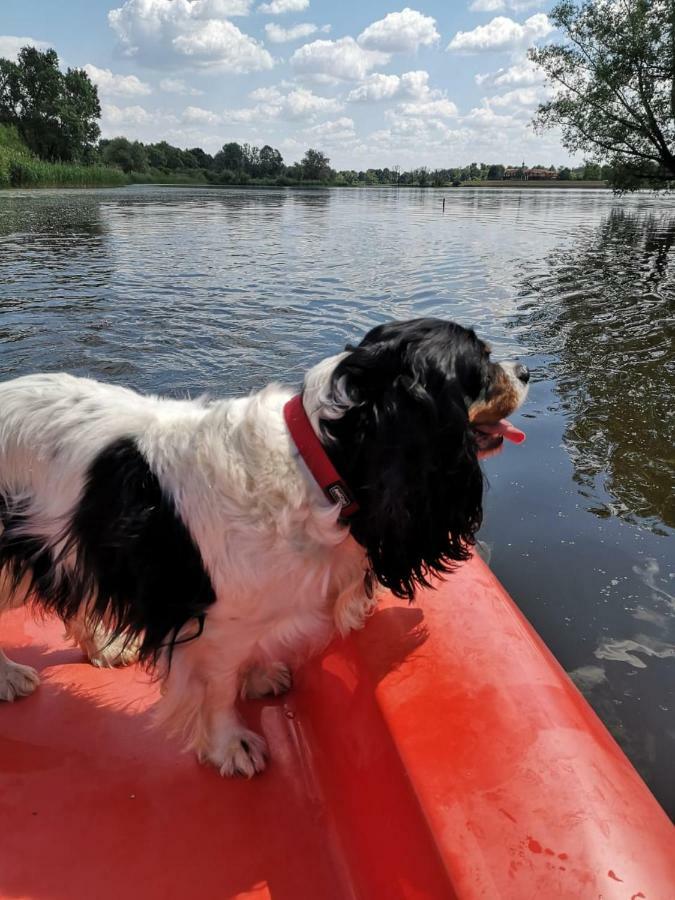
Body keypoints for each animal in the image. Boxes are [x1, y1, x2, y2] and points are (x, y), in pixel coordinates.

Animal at [0, 316, 528, 772]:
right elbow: (217, 687)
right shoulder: (215, 626)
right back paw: (10, 676)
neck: (318, 461)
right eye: (480, 363)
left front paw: (257, 678)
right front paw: (229, 745)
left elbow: (248, 655)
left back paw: (105, 648)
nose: (525, 371)